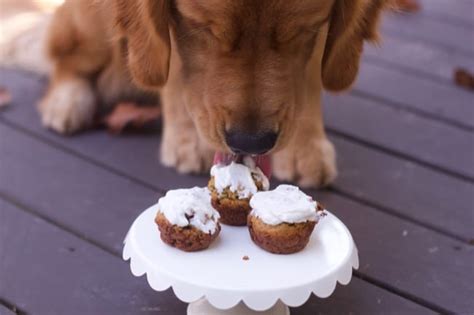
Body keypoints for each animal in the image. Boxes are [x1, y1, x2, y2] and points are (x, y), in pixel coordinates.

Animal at [37, 0, 386, 188]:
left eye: (303, 30)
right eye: (202, 26)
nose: (251, 142)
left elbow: (311, 74)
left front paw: (304, 145)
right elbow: (174, 66)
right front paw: (188, 138)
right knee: (65, 54)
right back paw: (66, 101)